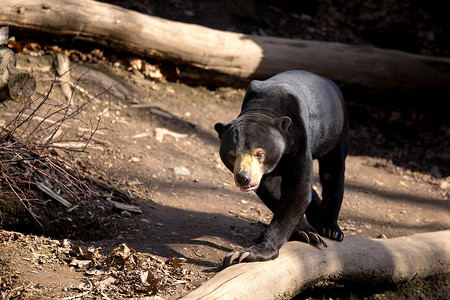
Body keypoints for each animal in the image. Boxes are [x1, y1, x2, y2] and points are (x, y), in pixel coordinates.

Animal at [214, 71, 348, 268]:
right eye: (232, 155)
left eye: (259, 153)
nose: (244, 178)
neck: (264, 107)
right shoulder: (264, 172)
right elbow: (272, 190)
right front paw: (306, 233)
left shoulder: (300, 139)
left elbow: (298, 191)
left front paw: (246, 254)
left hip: (338, 130)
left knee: (333, 170)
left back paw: (331, 229)